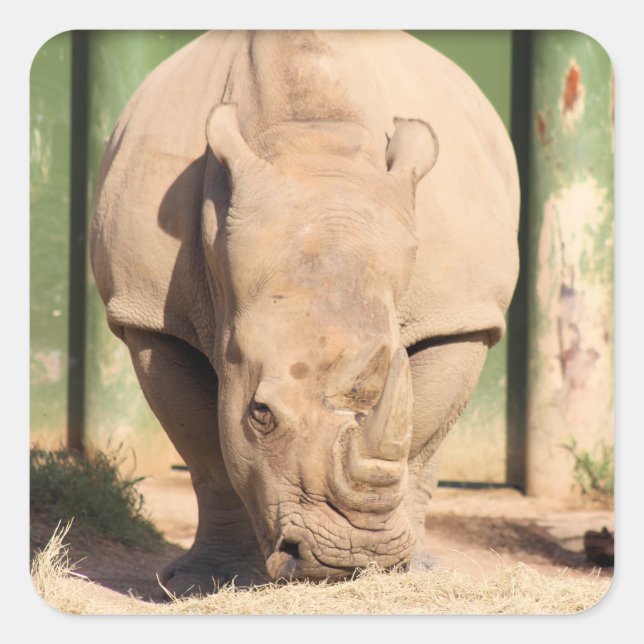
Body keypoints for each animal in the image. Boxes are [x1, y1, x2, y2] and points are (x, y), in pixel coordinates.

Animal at [90, 30, 519, 595]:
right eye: (260, 413)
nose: (351, 559)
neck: (313, 141)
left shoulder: (460, 315)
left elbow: (422, 441)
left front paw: (405, 569)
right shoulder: (150, 317)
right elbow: (205, 455)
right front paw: (205, 582)